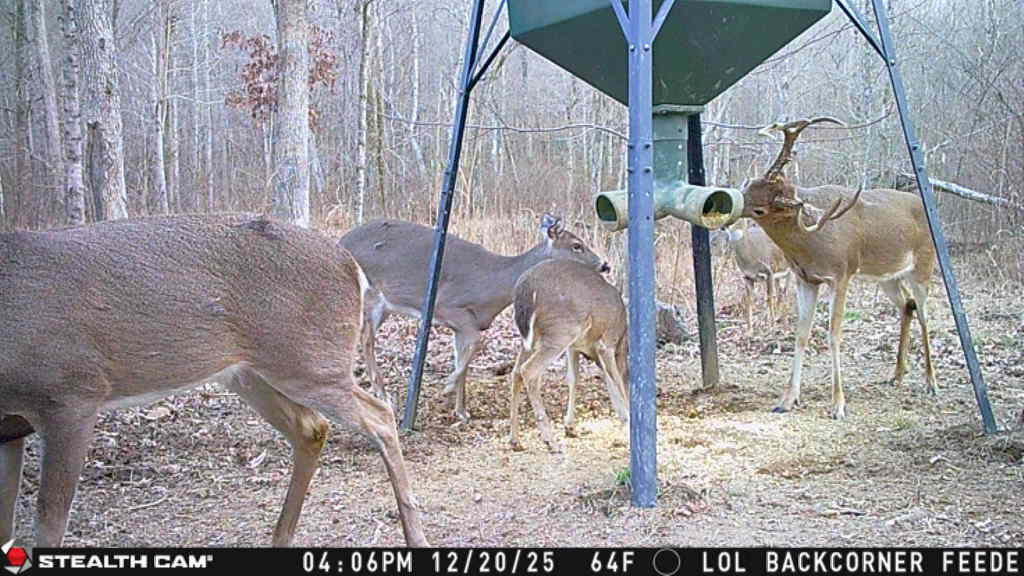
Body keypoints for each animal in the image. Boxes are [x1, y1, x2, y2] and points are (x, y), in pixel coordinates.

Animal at [0, 213, 427, 547]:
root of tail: (351, 264)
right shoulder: (10, 426)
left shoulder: (71, 392)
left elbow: (48, 524)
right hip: (249, 373)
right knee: (311, 427)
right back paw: (281, 537)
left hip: (310, 361)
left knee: (379, 415)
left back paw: (415, 535)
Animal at [339, 214, 609, 423]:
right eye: (577, 245)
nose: (605, 265)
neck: (494, 287)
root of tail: (341, 240)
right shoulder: (450, 308)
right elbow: (475, 348)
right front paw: (447, 388)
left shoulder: (463, 326)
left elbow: (464, 359)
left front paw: (461, 411)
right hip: (370, 294)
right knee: (365, 339)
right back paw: (382, 394)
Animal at [508, 259, 629, 453]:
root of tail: (524, 292)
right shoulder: (606, 343)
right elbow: (616, 379)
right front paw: (629, 416)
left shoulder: (574, 347)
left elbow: (574, 378)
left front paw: (570, 426)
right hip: (559, 332)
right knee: (528, 371)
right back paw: (551, 441)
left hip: (531, 340)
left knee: (515, 372)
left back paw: (515, 440)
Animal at [740, 117, 937, 420]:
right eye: (752, 184)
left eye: (761, 209)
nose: (731, 200)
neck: (810, 242)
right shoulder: (805, 279)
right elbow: (801, 334)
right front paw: (787, 399)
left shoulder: (842, 273)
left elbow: (834, 335)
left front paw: (838, 404)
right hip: (887, 276)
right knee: (908, 305)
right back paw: (896, 375)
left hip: (923, 264)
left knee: (926, 314)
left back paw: (931, 382)